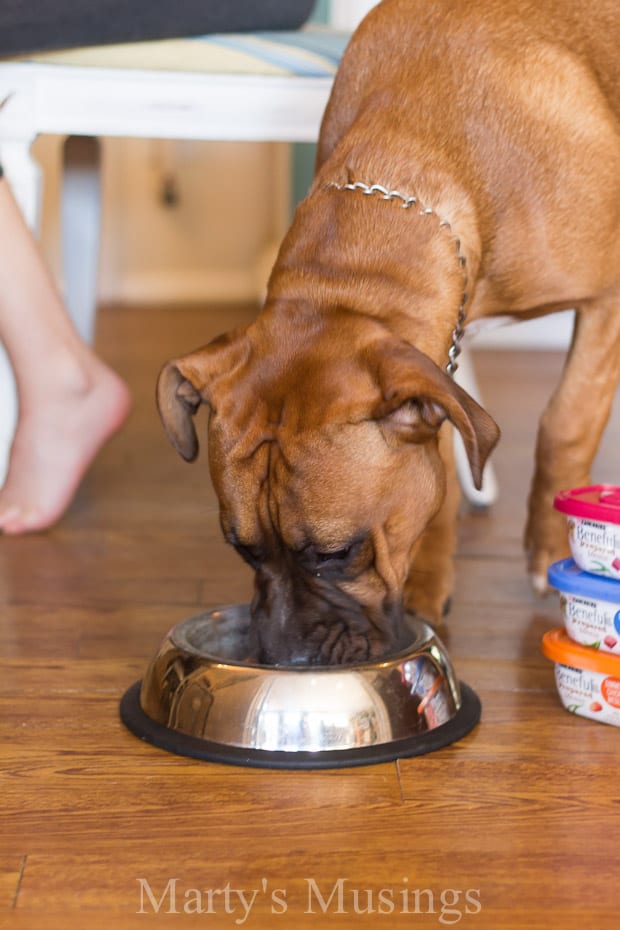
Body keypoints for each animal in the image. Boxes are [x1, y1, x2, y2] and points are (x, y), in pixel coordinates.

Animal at [156, 1, 620, 668]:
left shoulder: (605, 301)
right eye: (243, 550)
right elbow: (443, 469)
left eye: (338, 553)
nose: (282, 658)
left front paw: (551, 545)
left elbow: (566, 421)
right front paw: (430, 577)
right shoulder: (439, 356)